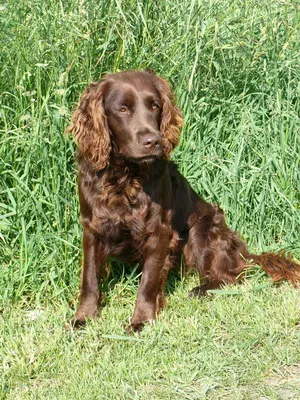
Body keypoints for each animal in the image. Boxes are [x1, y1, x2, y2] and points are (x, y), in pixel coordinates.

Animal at [67, 69, 300, 332]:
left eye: (155, 105)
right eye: (123, 109)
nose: (153, 141)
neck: (124, 177)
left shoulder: (159, 231)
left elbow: (148, 281)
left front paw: (141, 321)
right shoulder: (92, 228)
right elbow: (89, 278)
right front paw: (83, 317)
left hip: (202, 230)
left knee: (231, 275)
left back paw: (202, 289)